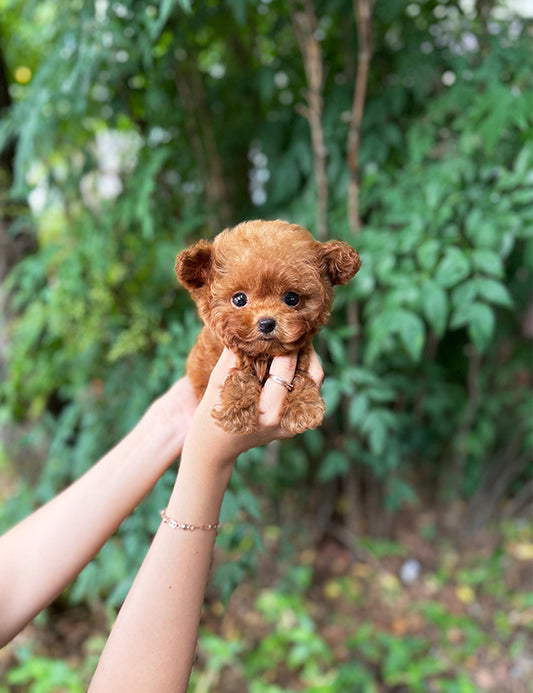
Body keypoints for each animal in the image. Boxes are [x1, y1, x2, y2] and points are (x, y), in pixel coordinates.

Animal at [177, 219, 360, 432]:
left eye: (292, 298)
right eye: (239, 299)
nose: (266, 323)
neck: (264, 355)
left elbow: (300, 373)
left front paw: (303, 407)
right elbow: (242, 372)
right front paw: (236, 410)